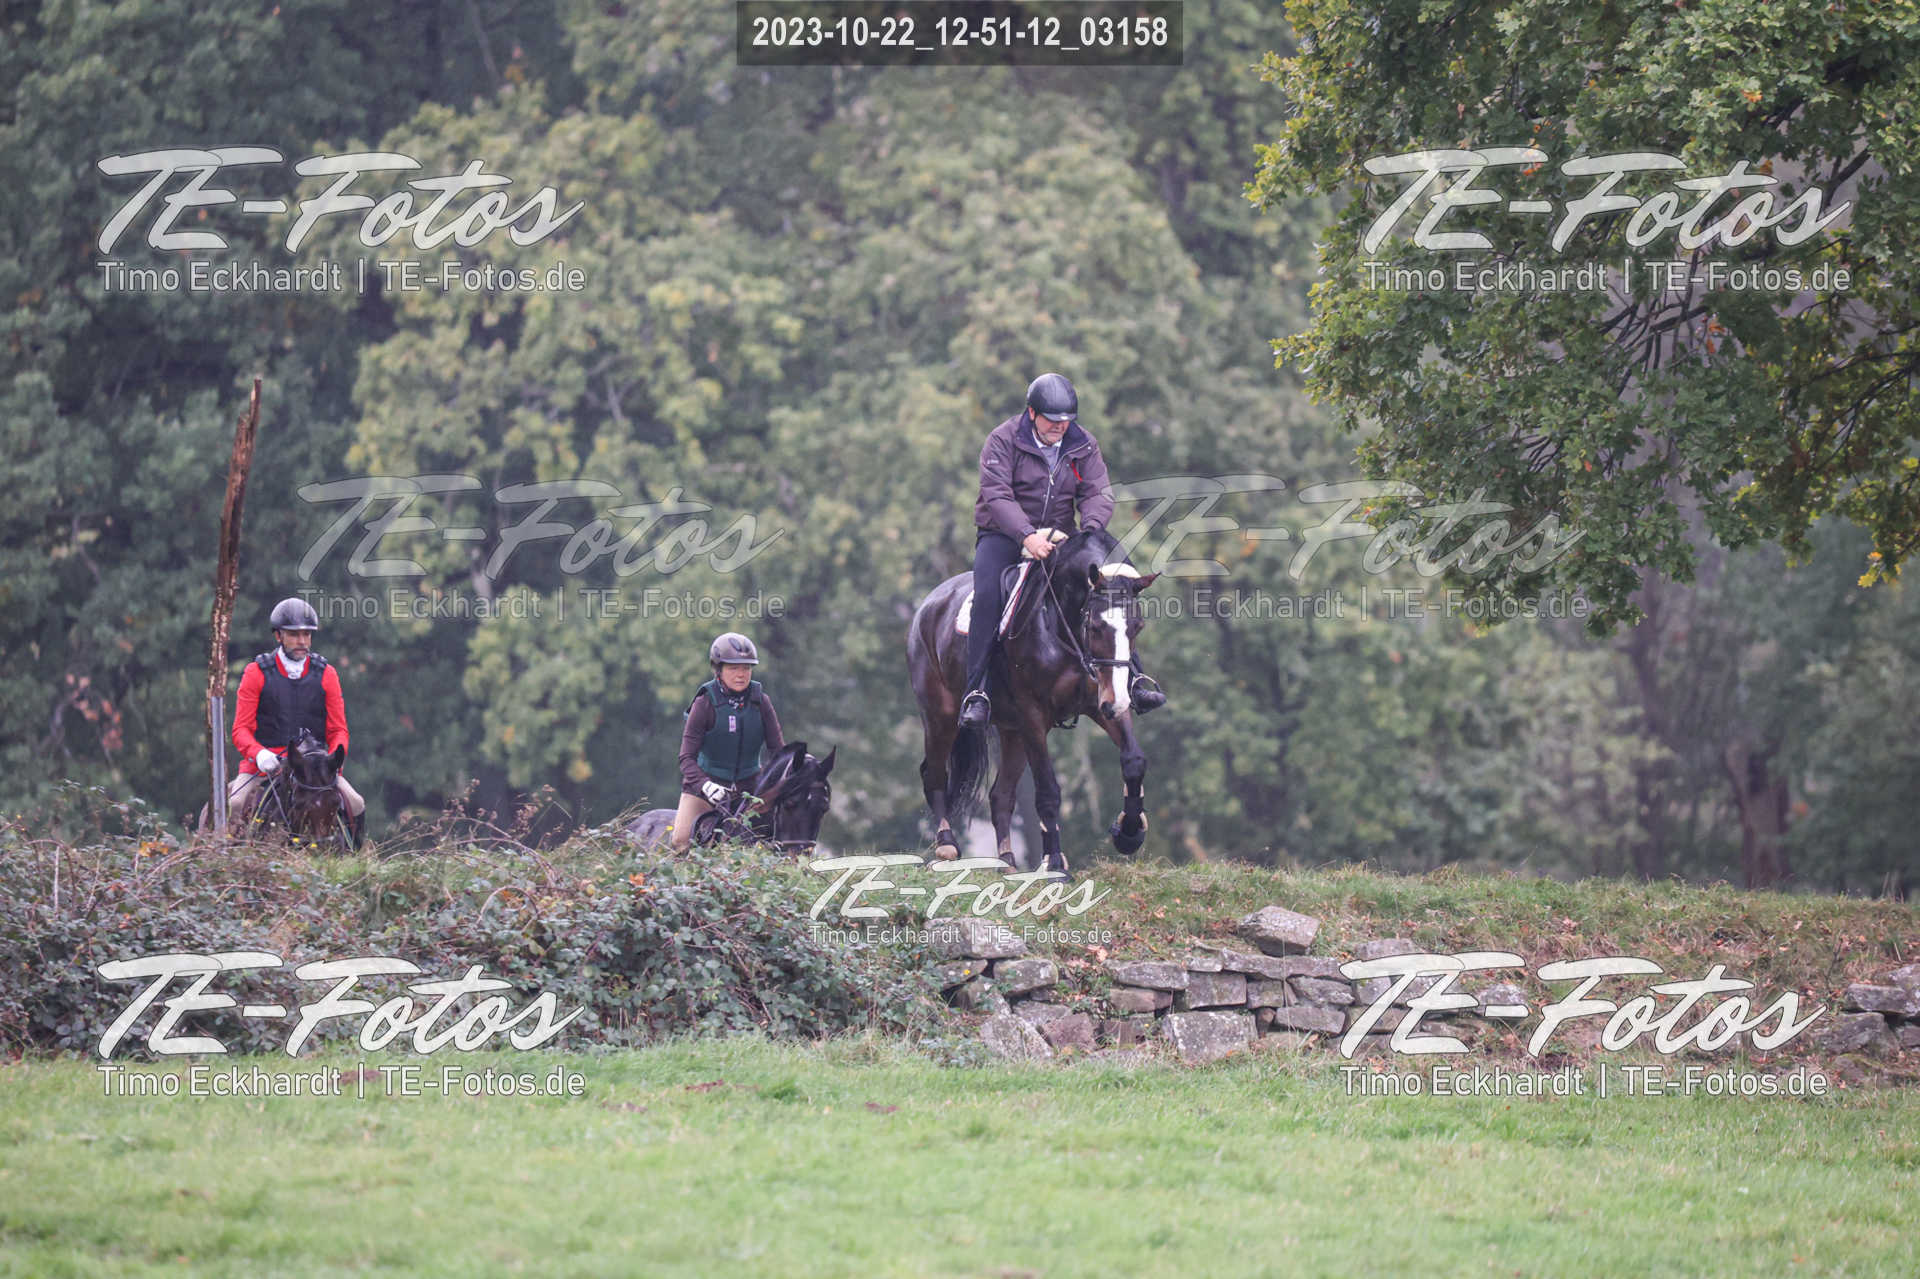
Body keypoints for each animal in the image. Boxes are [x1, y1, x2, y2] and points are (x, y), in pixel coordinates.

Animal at [908, 526, 1157, 879]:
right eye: (1095, 627)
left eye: (1137, 627)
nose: (1115, 701)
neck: (1061, 626)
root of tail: (928, 604)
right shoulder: (1034, 715)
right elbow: (1049, 790)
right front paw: (1054, 864)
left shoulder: (1101, 701)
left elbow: (1134, 761)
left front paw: (1129, 833)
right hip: (940, 715)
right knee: (934, 774)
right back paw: (946, 845)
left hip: (1012, 732)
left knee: (1001, 795)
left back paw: (1008, 863)